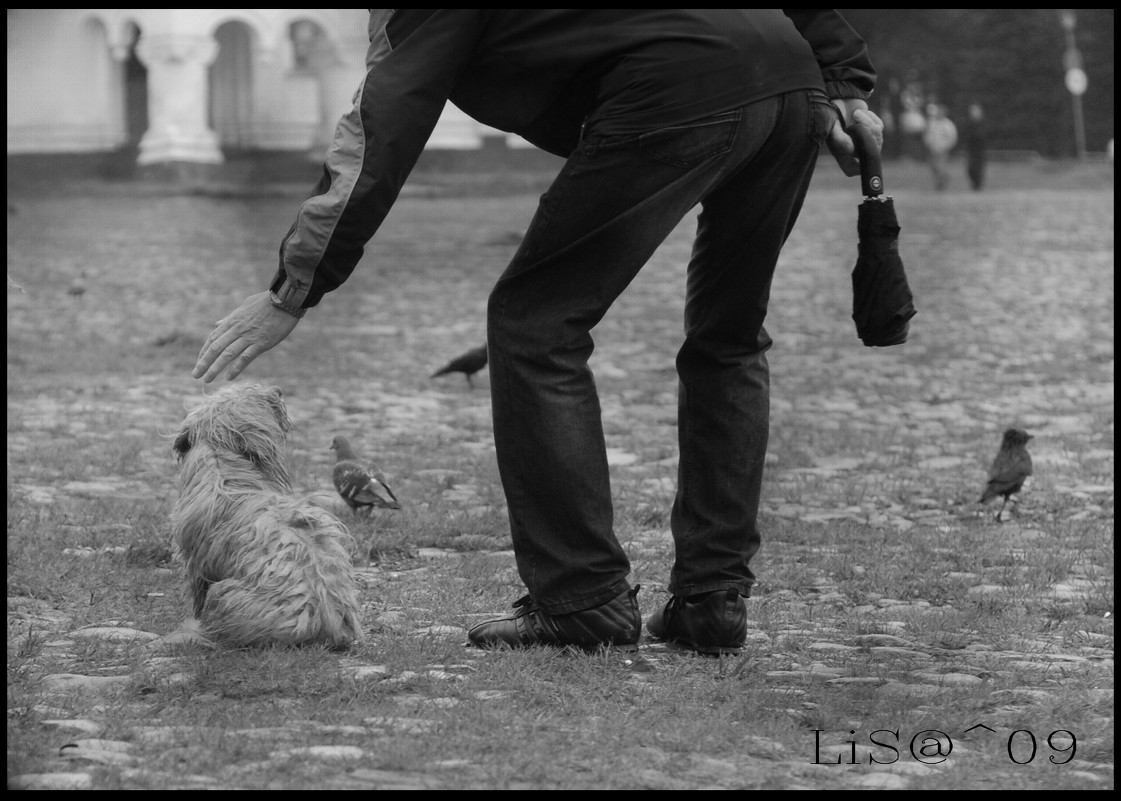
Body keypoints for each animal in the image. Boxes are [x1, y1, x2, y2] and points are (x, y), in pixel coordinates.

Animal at [168, 383, 360, 649]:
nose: (277, 390)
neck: (224, 465)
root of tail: (323, 621)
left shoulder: (196, 564)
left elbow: (196, 595)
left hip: (223, 592)